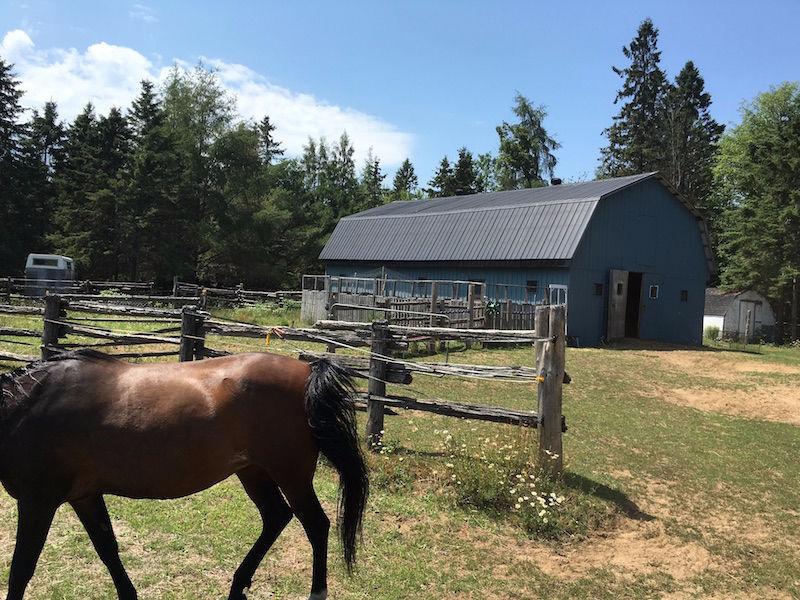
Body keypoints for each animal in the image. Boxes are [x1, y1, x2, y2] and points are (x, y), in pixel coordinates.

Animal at [0, 349, 369, 600]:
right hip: (254, 472)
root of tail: (307, 370)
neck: (27, 405)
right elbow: (108, 549)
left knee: (316, 524)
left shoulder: (38, 501)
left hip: (290, 474)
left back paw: (314, 592)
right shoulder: (84, 496)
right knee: (277, 517)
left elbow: (21, 568)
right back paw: (238, 586)